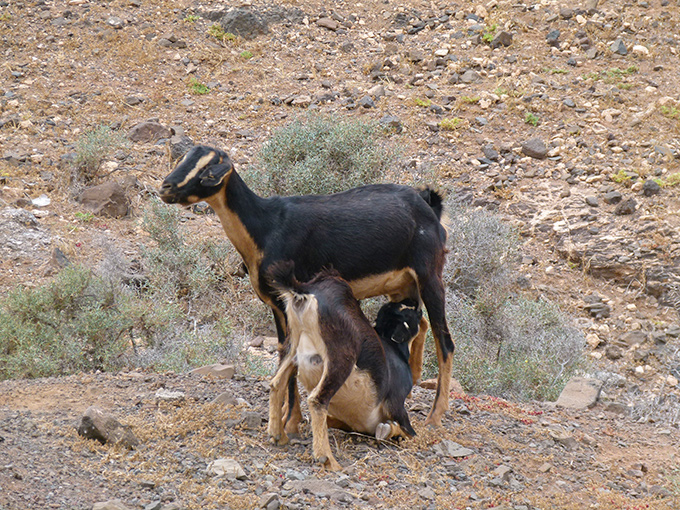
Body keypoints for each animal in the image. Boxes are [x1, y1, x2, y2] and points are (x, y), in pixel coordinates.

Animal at [159, 145, 454, 428]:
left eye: (208, 167)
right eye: (184, 158)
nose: (166, 188)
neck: (267, 225)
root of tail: (427, 204)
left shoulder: (289, 300)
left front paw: (290, 422)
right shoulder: (277, 307)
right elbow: (283, 354)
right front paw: (285, 417)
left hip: (430, 277)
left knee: (445, 342)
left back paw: (434, 418)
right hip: (402, 288)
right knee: (420, 322)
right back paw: (413, 379)